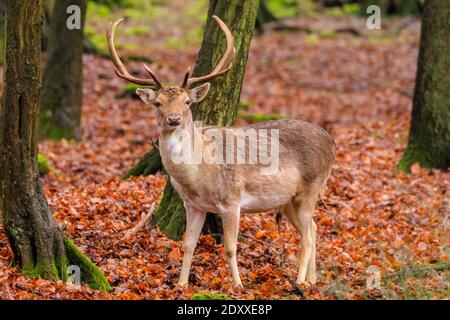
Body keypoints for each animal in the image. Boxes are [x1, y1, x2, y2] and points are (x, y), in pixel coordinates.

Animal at [107, 15, 336, 288]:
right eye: (158, 103)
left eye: (187, 102)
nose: (174, 119)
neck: (199, 175)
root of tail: (332, 141)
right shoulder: (193, 205)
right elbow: (188, 244)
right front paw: (181, 284)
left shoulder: (231, 199)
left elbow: (229, 246)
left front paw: (238, 285)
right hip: (289, 199)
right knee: (313, 228)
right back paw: (312, 280)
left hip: (311, 187)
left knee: (308, 235)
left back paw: (300, 281)